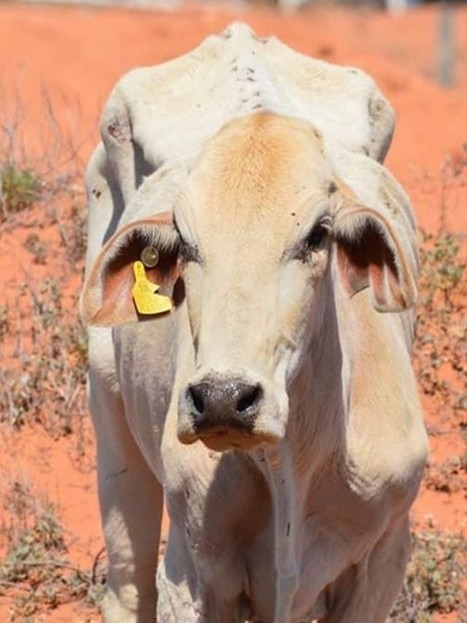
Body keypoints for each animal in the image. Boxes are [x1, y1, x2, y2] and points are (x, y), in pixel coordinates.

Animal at [79, 22, 428, 623]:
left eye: (318, 235)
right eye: (184, 241)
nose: (223, 398)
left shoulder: (383, 558)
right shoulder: (190, 573)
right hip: (111, 418)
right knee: (127, 585)